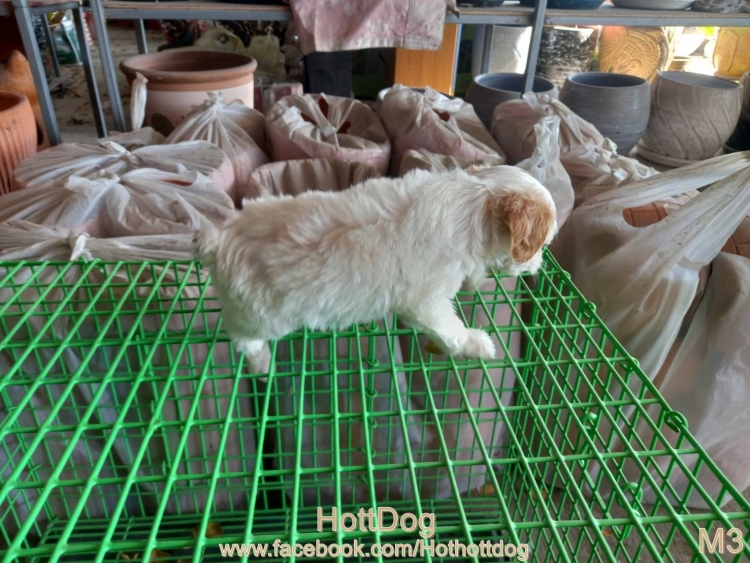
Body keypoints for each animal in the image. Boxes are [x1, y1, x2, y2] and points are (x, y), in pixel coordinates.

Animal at [194, 165, 557, 373]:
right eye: (541, 244)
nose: (538, 267)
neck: (473, 200)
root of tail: (218, 238)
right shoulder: (427, 301)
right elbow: (448, 328)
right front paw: (477, 343)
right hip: (257, 312)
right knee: (244, 338)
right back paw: (261, 363)